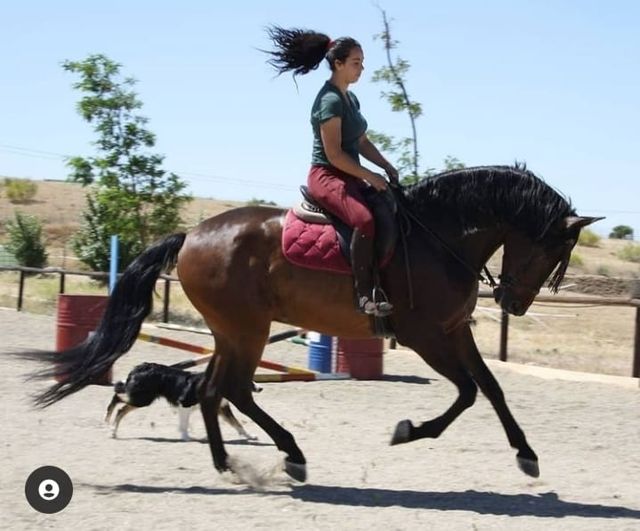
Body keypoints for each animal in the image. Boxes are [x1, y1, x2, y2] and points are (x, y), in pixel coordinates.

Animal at [25, 164, 600, 483]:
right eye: (551, 252)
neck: (438, 237)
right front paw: (409, 431)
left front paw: (527, 454)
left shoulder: (455, 331)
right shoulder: (425, 336)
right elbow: (466, 392)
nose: (514, 303)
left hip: (232, 332)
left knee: (214, 390)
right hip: (247, 329)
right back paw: (289, 454)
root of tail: (192, 235)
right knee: (233, 389)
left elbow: (492, 389)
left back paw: (231, 462)